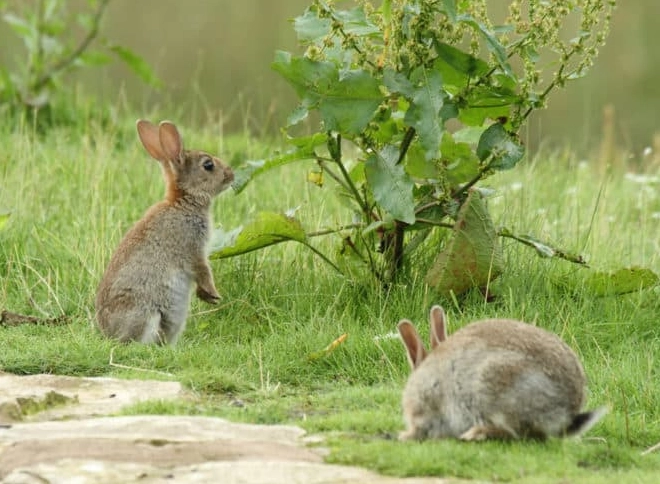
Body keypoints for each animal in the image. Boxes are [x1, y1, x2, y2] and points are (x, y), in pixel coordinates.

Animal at [95, 119, 234, 345]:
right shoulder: (192, 248)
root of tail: (109, 334)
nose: (231, 174)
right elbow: (203, 270)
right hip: (146, 314)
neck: (184, 200)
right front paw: (213, 295)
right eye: (208, 165)